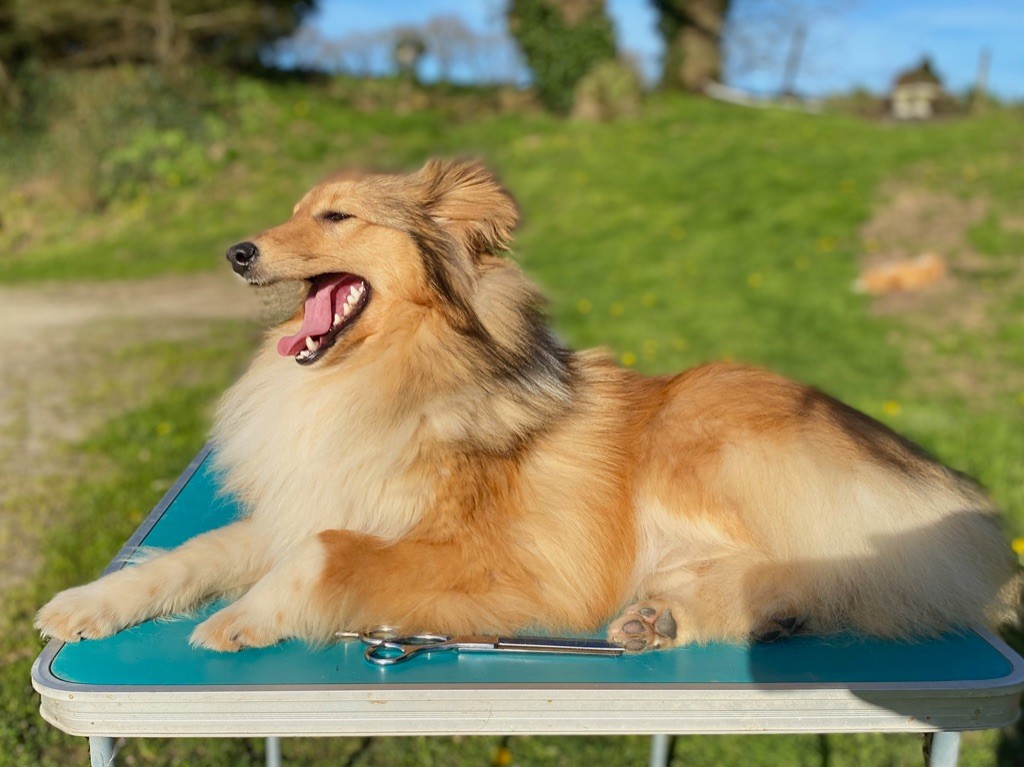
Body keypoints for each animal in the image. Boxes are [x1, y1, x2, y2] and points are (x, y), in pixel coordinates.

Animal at [36, 159, 1019, 651]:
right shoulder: (302, 503)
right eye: (295, 211)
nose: (236, 253)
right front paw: (88, 603)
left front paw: (244, 616)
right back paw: (672, 615)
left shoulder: (496, 559)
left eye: (337, 217)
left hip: (708, 440)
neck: (387, 374)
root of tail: (943, 483)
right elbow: (190, 553)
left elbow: (323, 555)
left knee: (844, 566)